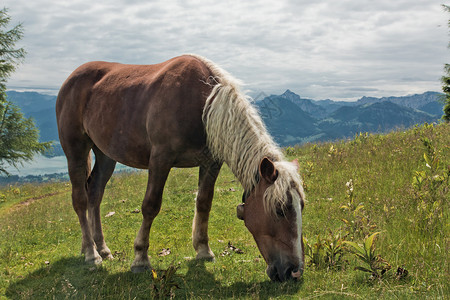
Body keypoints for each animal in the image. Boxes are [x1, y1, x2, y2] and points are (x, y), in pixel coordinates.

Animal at [54, 54, 304, 282]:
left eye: (301, 207)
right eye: (280, 210)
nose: (294, 272)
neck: (202, 105)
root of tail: (70, 79)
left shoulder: (211, 163)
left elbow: (204, 203)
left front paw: (203, 250)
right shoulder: (160, 160)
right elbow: (151, 206)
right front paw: (140, 259)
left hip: (106, 155)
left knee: (95, 193)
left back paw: (102, 249)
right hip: (75, 149)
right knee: (80, 199)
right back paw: (91, 253)